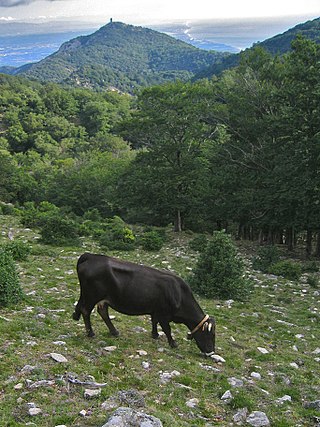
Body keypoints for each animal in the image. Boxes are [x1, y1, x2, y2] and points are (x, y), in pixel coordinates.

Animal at [73, 252, 215, 356]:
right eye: (210, 334)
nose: (211, 352)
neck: (179, 293)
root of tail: (91, 256)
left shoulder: (156, 310)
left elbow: (154, 321)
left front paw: (155, 335)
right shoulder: (164, 314)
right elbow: (167, 329)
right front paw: (173, 343)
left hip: (101, 298)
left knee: (102, 311)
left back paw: (114, 332)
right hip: (92, 296)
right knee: (86, 310)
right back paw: (91, 333)